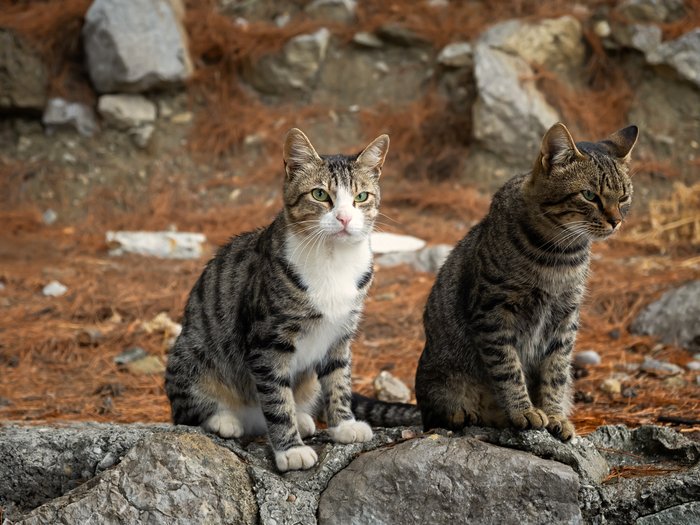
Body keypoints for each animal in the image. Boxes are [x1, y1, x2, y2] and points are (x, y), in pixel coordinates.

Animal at [166, 128, 392, 470]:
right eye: (320, 195)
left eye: (361, 197)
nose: (343, 218)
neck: (333, 260)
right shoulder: (267, 340)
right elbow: (276, 397)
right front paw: (291, 449)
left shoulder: (341, 334)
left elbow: (339, 379)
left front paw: (344, 425)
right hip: (191, 354)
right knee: (188, 410)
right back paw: (224, 419)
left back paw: (304, 418)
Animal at [416, 122, 640, 438]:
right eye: (589, 195)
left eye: (623, 198)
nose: (616, 221)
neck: (560, 255)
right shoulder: (493, 313)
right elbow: (508, 369)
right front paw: (523, 411)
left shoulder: (565, 317)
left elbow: (556, 373)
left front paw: (555, 414)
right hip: (439, 378)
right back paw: (462, 413)